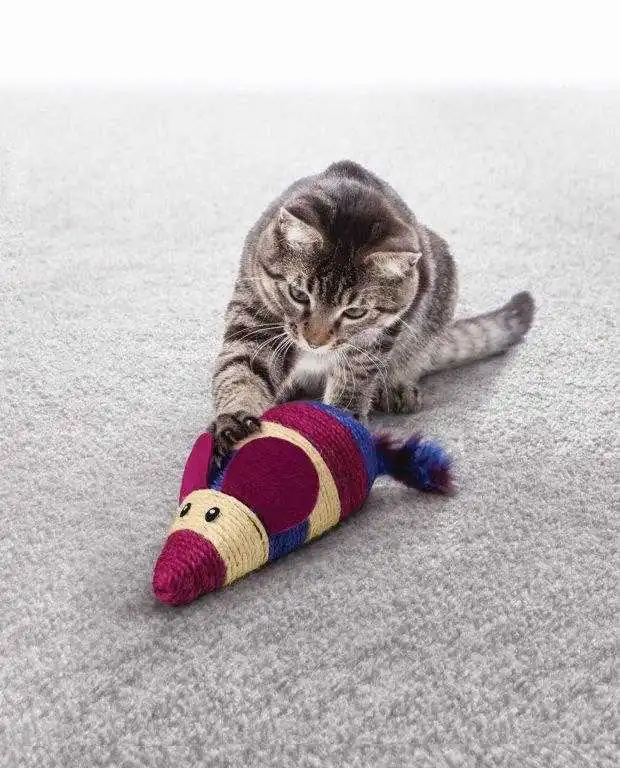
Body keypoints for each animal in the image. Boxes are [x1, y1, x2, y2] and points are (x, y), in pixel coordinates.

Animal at [210, 160, 535, 459]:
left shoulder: (373, 341)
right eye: (298, 294)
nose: (315, 342)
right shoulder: (254, 317)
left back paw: (397, 387)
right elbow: (241, 372)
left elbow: (352, 385)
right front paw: (235, 422)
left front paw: (340, 431)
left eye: (354, 312)